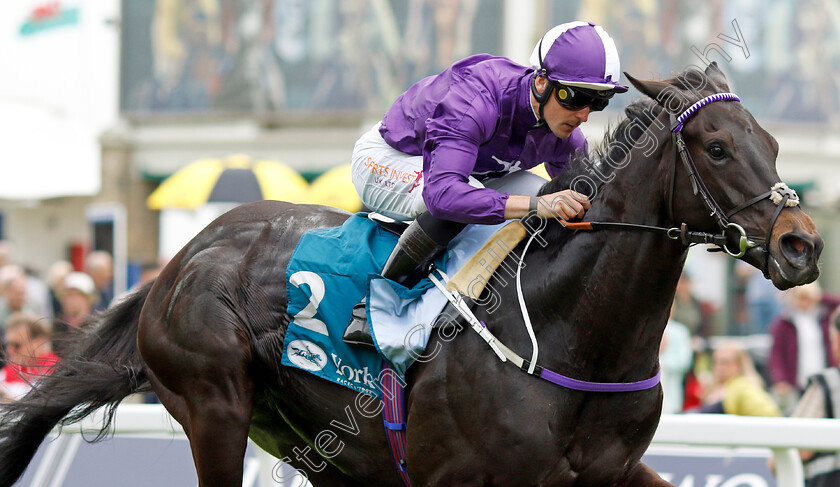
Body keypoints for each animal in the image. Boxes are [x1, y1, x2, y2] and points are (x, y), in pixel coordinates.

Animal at [0, 66, 824, 487]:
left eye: (774, 142)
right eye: (716, 147)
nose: (802, 246)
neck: (568, 335)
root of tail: (182, 259)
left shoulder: (610, 475)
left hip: (323, 449)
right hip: (214, 406)